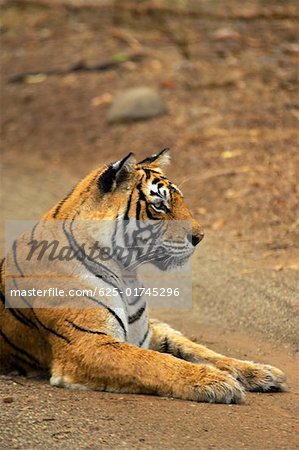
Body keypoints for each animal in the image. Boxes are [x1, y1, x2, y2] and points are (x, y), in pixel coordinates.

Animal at [0, 149, 288, 404]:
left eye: (180, 201)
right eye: (159, 205)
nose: (200, 237)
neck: (126, 272)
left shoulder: (146, 334)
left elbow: (196, 351)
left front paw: (257, 373)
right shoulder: (87, 343)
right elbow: (154, 362)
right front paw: (216, 382)